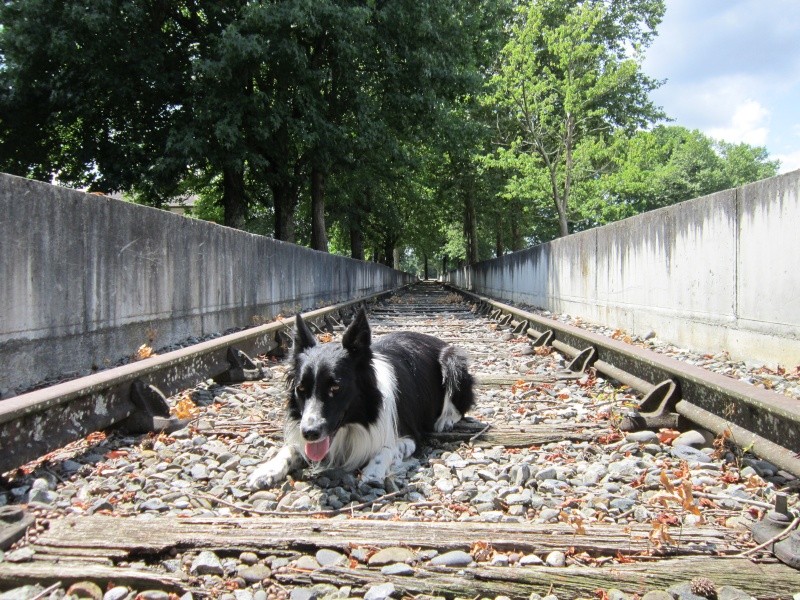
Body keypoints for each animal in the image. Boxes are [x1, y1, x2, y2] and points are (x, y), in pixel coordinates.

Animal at [248, 308, 476, 490]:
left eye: (335, 387)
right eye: (301, 388)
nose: (309, 433)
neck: (353, 423)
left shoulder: (410, 436)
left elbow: (387, 448)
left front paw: (373, 471)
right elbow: (290, 449)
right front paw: (267, 470)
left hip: (452, 363)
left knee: (459, 407)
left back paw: (445, 420)